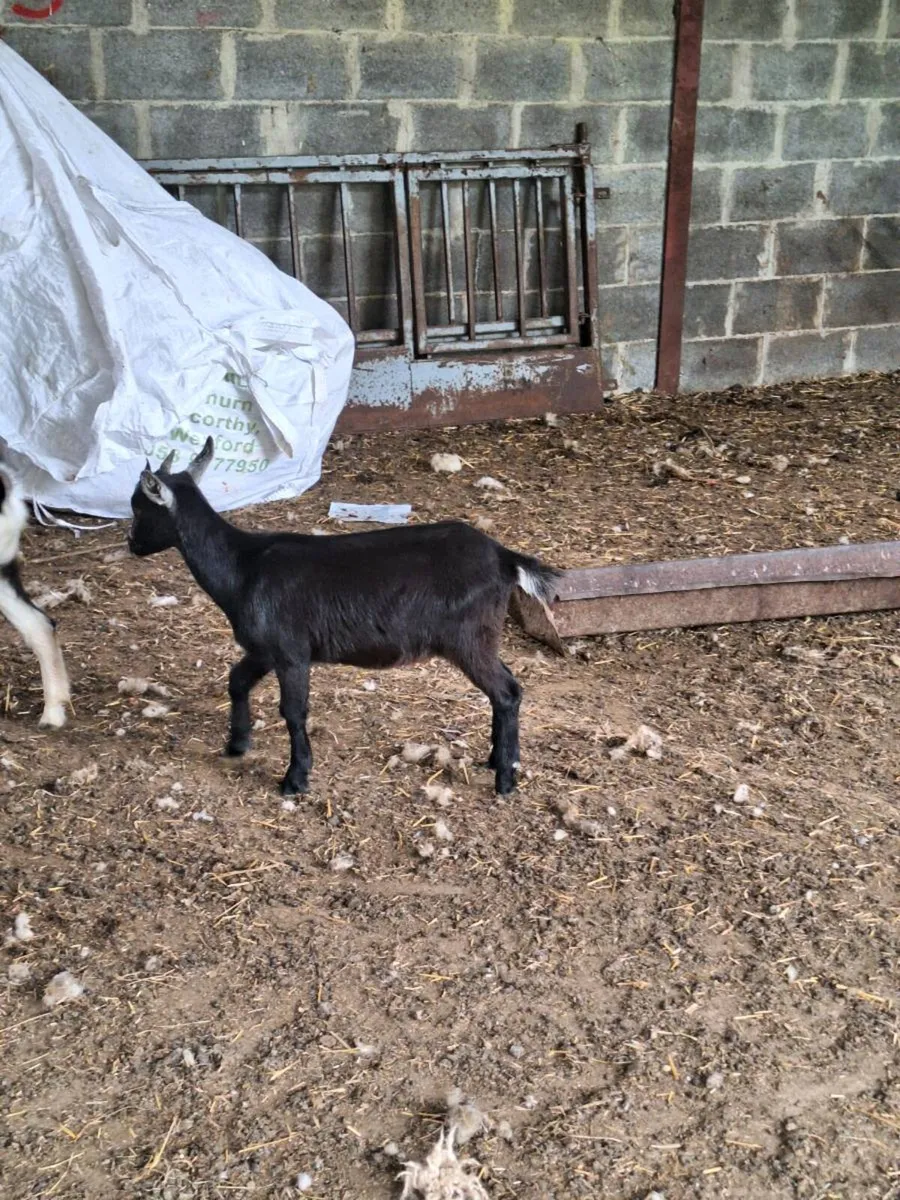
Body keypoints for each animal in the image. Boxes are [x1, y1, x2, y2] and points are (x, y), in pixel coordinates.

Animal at [128, 438, 561, 796]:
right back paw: (497, 759)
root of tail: (504, 557)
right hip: (483, 637)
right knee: (507, 689)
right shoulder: (264, 649)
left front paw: (295, 779)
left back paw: (505, 780)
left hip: (468, 638)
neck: (244, 566)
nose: (132, 545)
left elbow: (293, 712)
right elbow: (237, 681)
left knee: (506, 691)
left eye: (138, 507)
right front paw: (237, 743)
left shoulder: (291, 652)